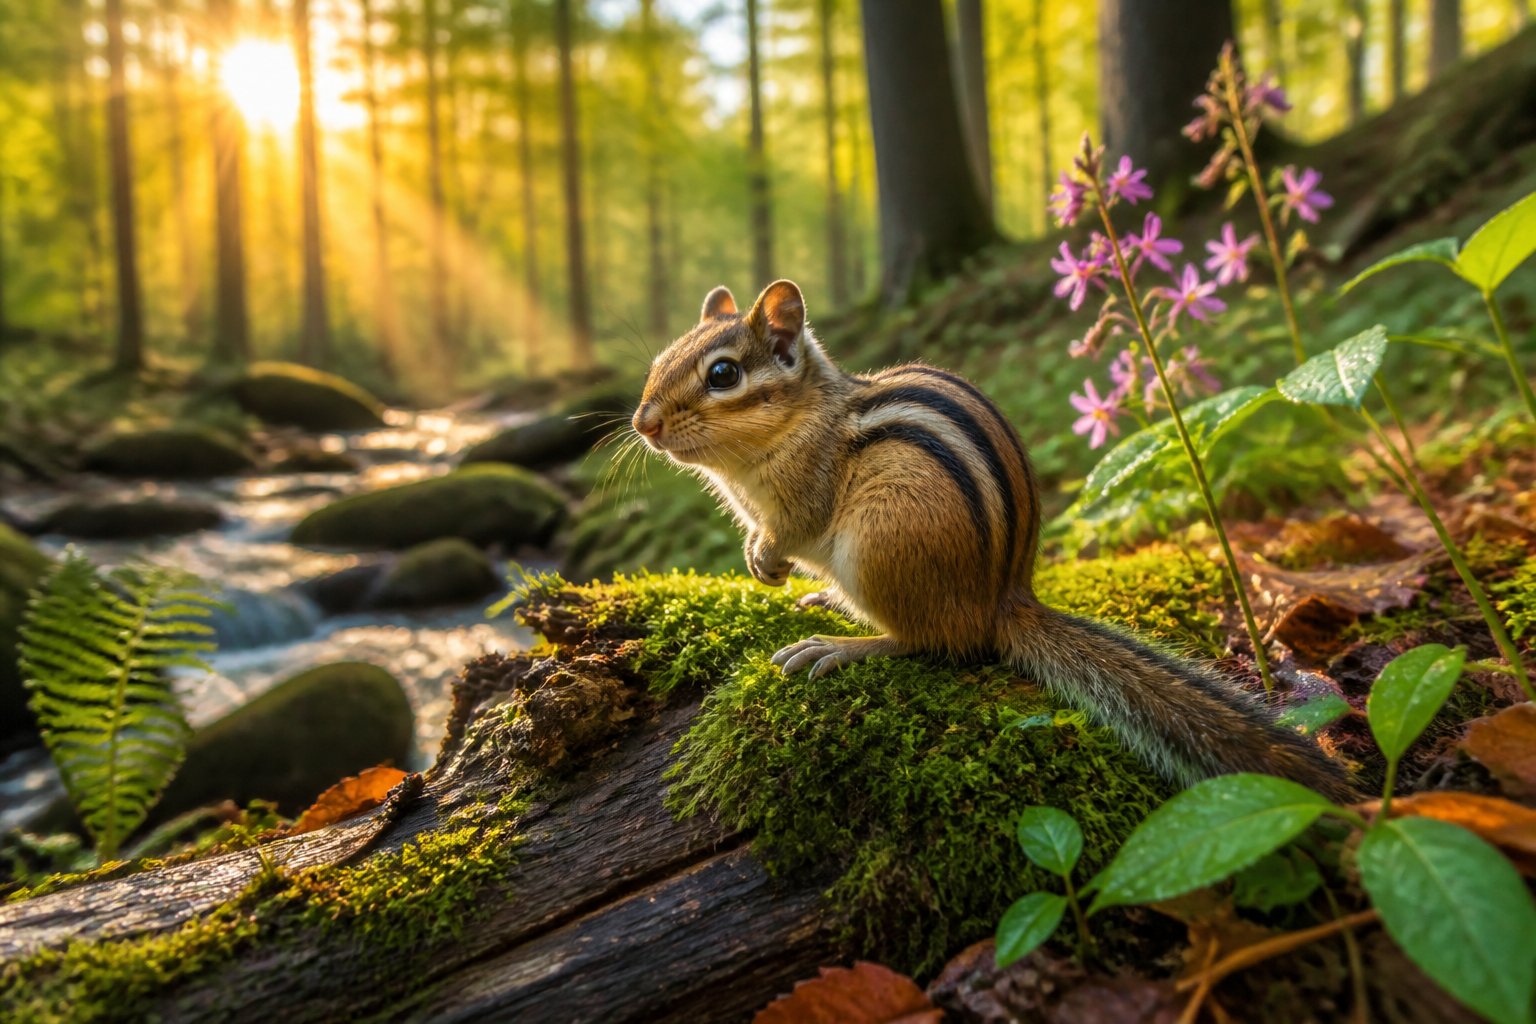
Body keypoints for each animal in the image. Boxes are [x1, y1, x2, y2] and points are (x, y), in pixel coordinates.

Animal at [632, 279, 1357, 802]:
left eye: (723, 375)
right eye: (659, 360)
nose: (643, 423)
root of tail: (1005, 598)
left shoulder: (807, 487)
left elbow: (796, 525)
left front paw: (769, 557)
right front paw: (759, 558)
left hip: (878, 545)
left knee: (931, 640)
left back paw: (841, 645)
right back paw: (828, 604)